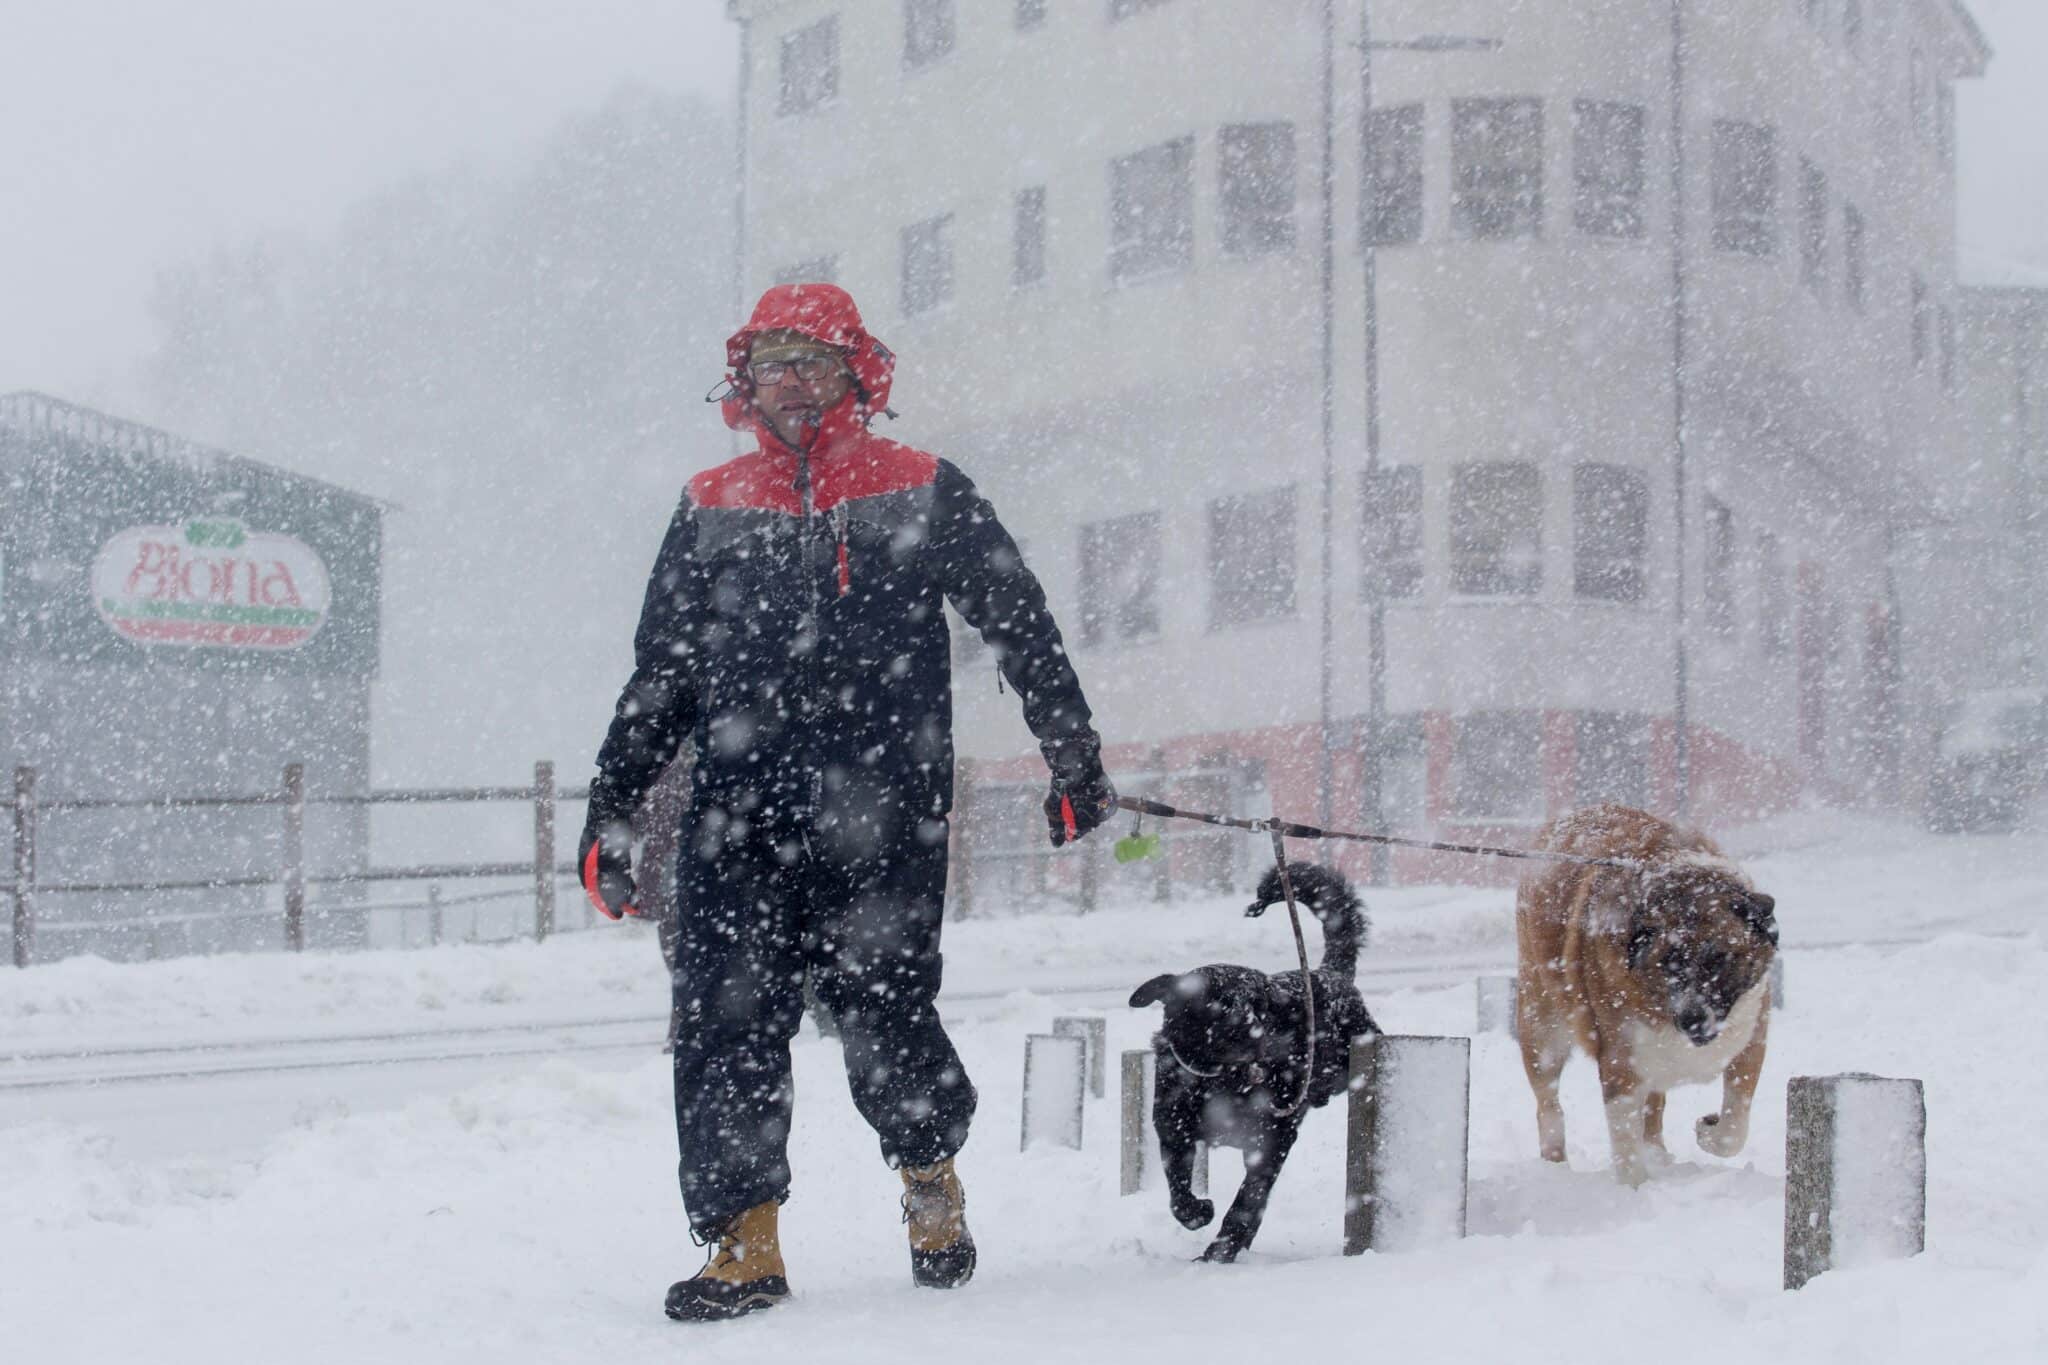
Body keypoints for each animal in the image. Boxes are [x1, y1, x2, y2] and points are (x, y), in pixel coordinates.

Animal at [1130, 863, 1384, 1260]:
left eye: (1261, 1002)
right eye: (1220, 1003)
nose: (1258, 1034)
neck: (1219, 1081)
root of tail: (1331, 973)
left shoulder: (1274, 1138)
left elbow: (1246, 1200)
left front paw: (1218, 1253)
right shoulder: (1173, 1131)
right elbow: (1178, 1193)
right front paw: (1199, 1212)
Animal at [1515, 806, 1785, 1178]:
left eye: (1719, 957)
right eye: (1669, 962)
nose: (1693, 1020)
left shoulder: (1751, 1040)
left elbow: (1733, 1128)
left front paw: (1708, 1128)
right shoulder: (1620, 1063)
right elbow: (1626, 1148)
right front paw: (1635, 1188)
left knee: (1654, 1109)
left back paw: (1658, 1156)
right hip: (1542, 1029)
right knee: (1549, 1107)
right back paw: (1556, 1167)